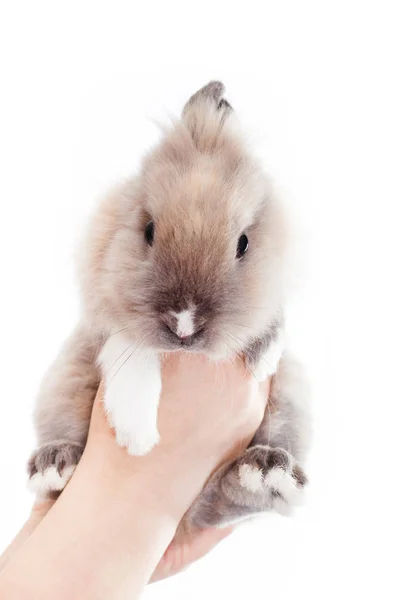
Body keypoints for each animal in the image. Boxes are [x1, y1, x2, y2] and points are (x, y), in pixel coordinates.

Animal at [28, 82, 310, 528]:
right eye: (148, 230)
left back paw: (264, 472)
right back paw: (56, 463)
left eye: (244, 243)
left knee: (231, 499)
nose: (184, 325)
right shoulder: (102, 313)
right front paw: (136, 434)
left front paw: (264, 354)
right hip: (63, 381)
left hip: (290, 402)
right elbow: (131, 348)